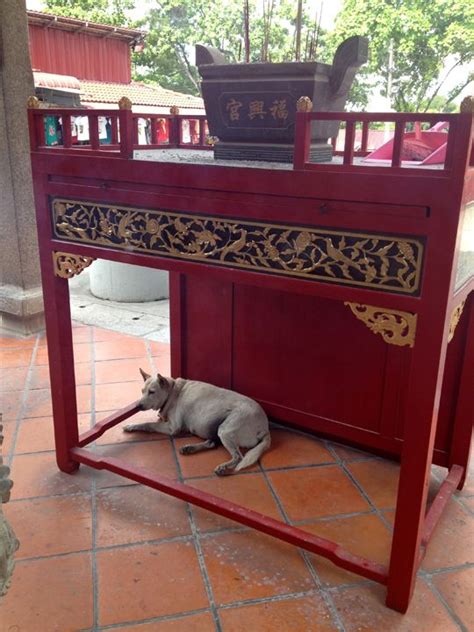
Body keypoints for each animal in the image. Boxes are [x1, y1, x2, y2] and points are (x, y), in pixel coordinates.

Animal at [123, 368, 270, 476]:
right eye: (142, 391)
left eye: (152, 392)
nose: (138, 406)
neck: (171, 391)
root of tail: (265, 428)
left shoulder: (172, 428)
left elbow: (148, 424)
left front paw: (132, 426)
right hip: (218, 429)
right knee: (212, 443)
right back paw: (189, 448)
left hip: (225, 430)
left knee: (238, 457)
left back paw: (223, 467)